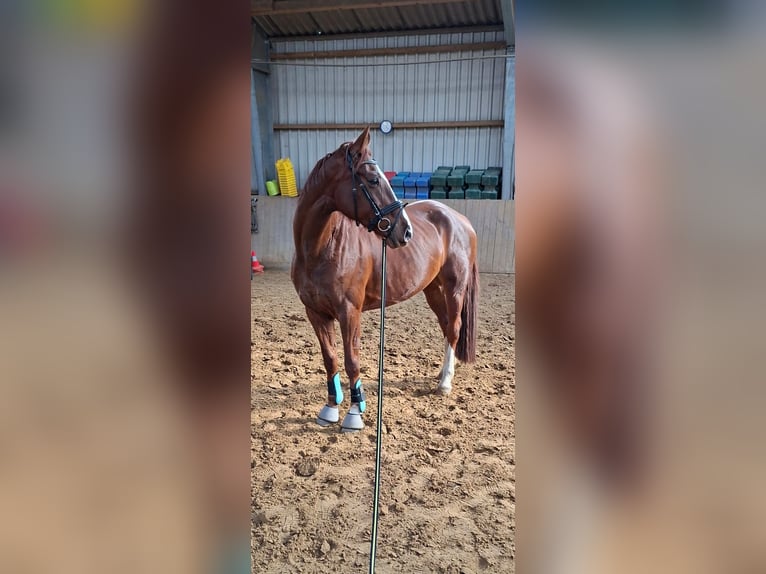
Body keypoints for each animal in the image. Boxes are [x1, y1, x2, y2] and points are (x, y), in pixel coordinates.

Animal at [291, 127, 479, 432]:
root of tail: (460, 220)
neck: (320, 248)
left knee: (454, 328)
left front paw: (354, 413)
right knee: (445, 326)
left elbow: (351, 361)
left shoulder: (349, 312)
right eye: (373, 179)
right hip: (433, 290)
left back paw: (445, 383)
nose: (406, 232)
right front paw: (330, 409)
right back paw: (441, 373)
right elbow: (330, 359)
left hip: (454, 288)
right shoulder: (315, 313)